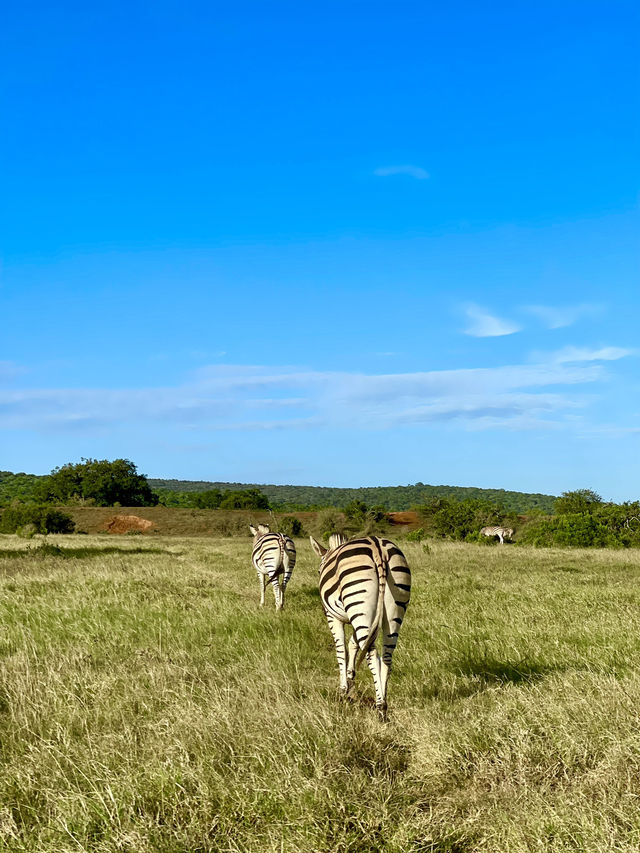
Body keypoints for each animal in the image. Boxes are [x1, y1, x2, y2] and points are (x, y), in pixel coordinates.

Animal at [308, 532, 410, 720]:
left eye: (319, 571)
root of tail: (378, 548)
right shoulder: (363, 618)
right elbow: (353, 644)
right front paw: (350, 678)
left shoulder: (332, 616)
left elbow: (341, 649)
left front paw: (343, 690)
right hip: (390, 610)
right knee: (386, 657)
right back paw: (384, 701)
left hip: (360, 606)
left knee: (371, 655)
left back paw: (380, 707)